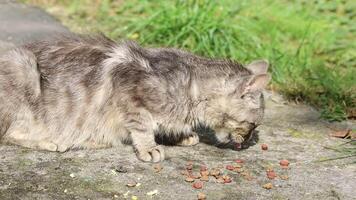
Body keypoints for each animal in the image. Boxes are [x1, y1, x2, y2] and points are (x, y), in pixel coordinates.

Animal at [0, 34, 270, 162]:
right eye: (252, 125)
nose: (247, 142)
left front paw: (181, 135)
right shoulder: (131, 93)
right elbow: (142, 126)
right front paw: (149, 148)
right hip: (23, 69)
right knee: (9, 135)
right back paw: (53, 142)